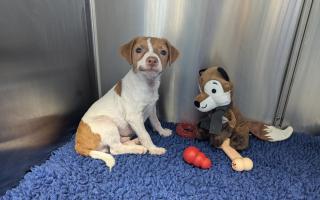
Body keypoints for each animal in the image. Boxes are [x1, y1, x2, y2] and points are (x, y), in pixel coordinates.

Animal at [75, 36, 180, 170]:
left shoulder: (152, 108)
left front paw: (163, 132)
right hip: (107, 123)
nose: (152, 60)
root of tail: (78, 143)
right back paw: (138, 148)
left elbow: (156, 122)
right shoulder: (134, 117)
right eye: (138, 50)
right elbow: (145, 134)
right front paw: (154, 149)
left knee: (116, 144)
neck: (147, 84)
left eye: (163, 52)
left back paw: (134, 141)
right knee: (115, 149)